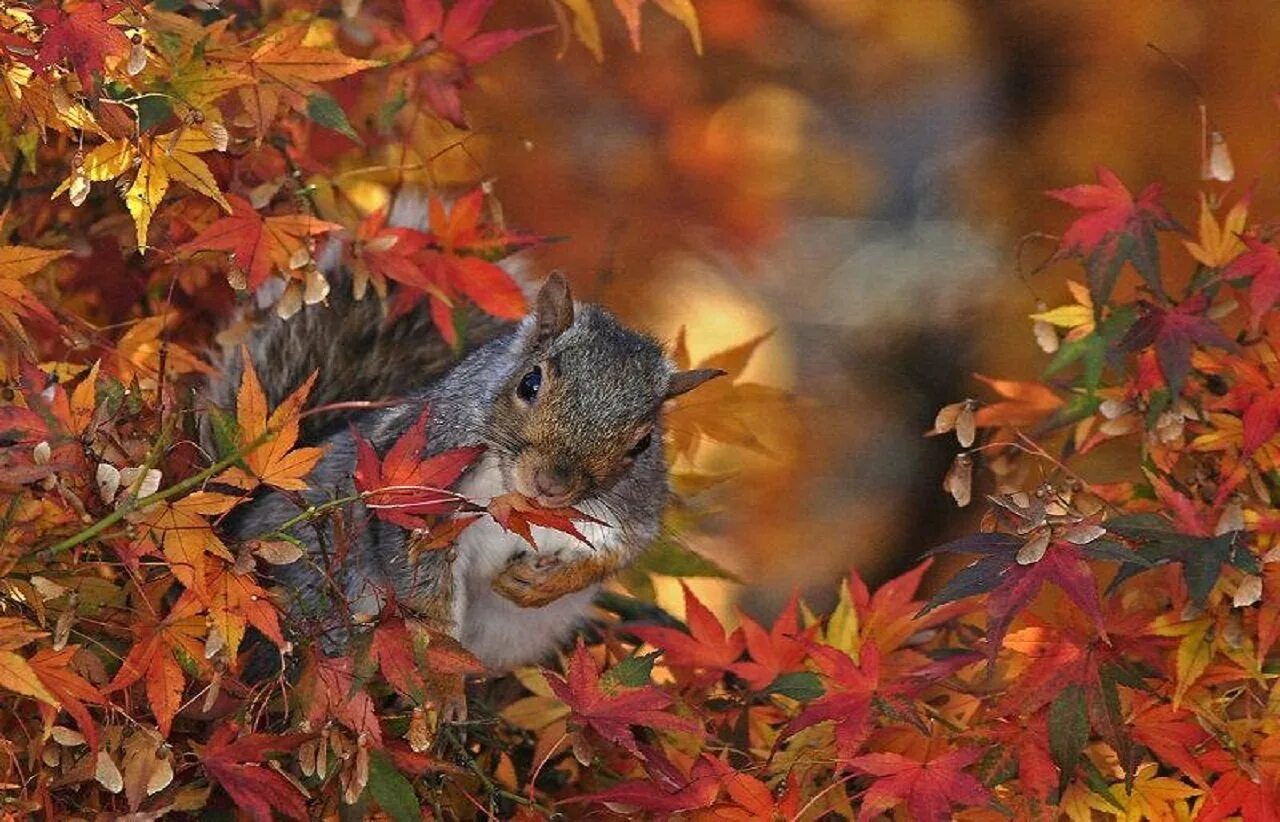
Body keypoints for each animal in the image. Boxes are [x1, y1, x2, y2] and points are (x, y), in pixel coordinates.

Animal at [208, 197, 721, 670]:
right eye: (529, 383)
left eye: (643, 442)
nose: (551, 485)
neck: (521, 505)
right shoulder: (425, 473)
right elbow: (420, 573)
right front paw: (440, 662)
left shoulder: (631, 510)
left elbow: (618, 552)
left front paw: (545, 584)